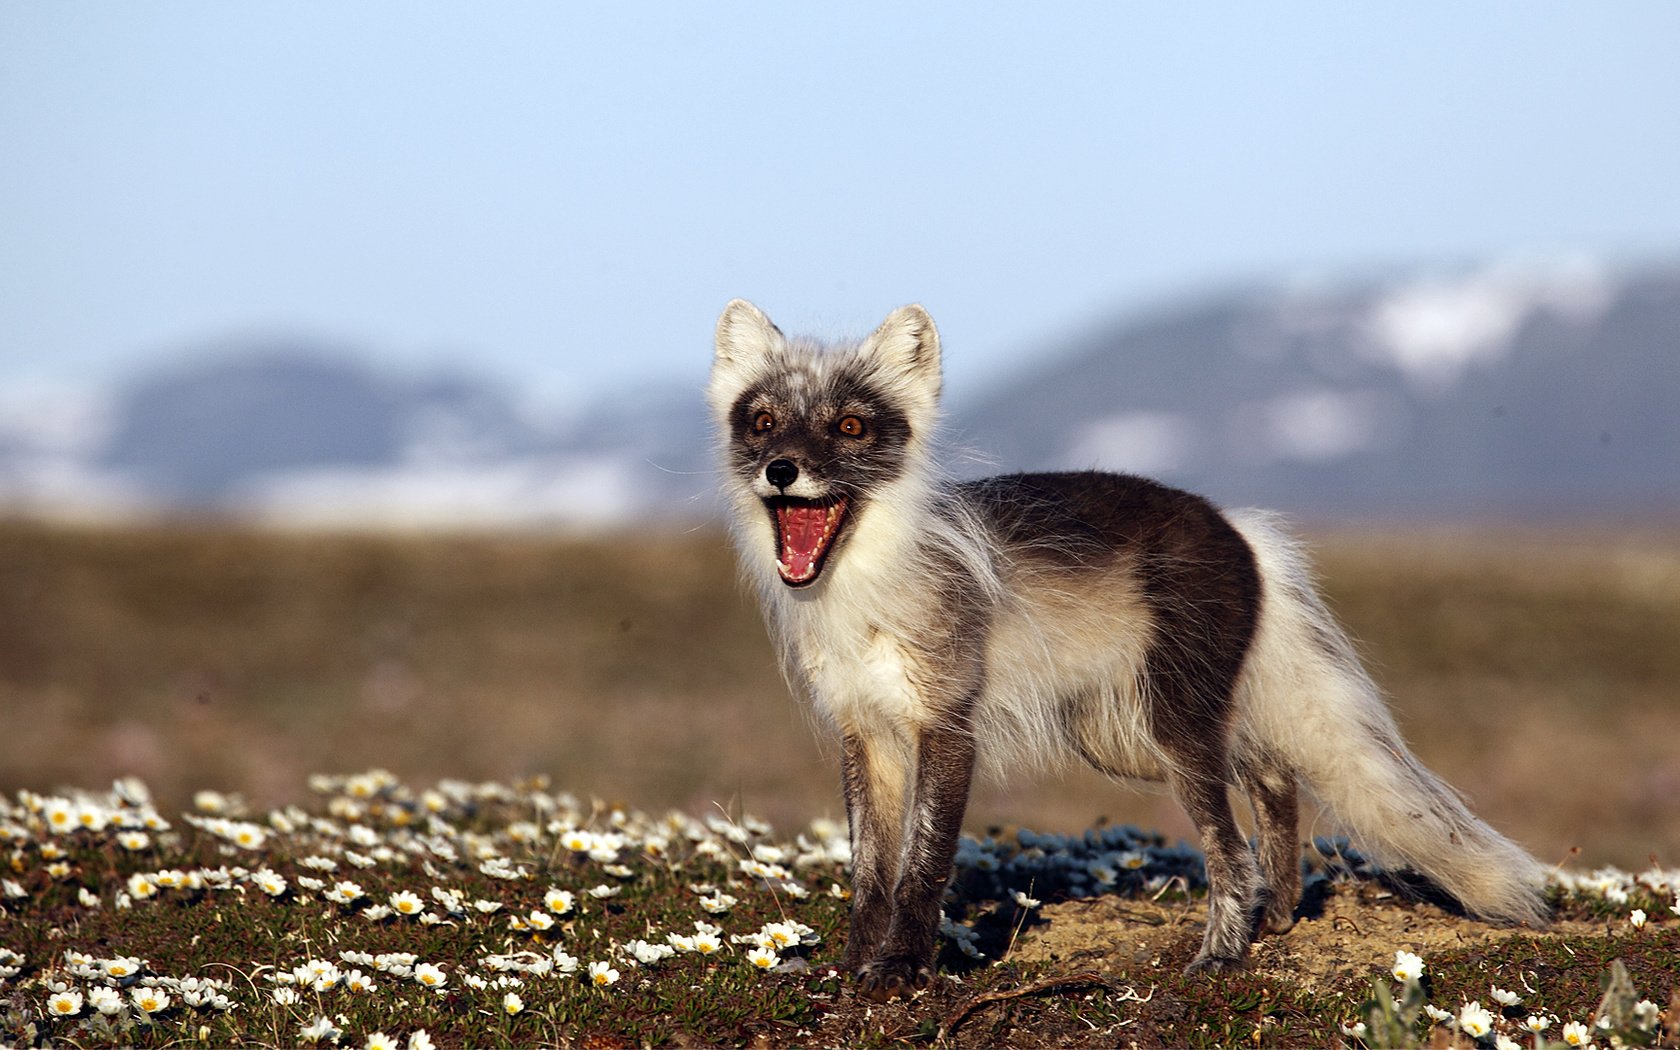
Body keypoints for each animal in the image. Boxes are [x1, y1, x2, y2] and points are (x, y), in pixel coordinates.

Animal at [702, 297, 1538, 1001]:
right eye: (762, 422)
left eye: (849, 427)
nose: (781, 470)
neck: (865, 593)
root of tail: (1239, 528)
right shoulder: (866, 732)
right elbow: (869, 870)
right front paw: (851, 966)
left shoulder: (946, 724)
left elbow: (924, 863)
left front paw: (903, 969)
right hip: (1133, 734)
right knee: (1274, 779)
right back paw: (1278, 918)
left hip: (1169, 725)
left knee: (1231, 847)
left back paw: (1223, 955)